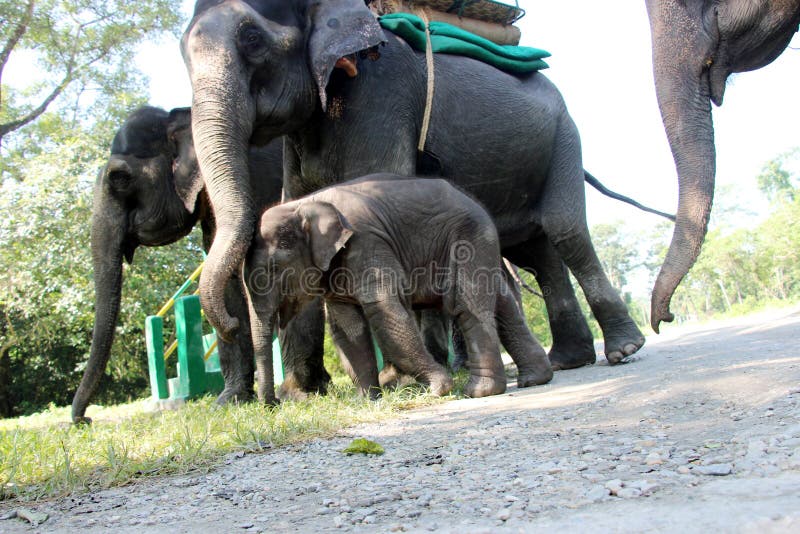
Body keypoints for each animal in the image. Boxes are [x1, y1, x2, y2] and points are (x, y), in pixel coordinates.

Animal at [71, 107, 328, 426]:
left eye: (119, 177)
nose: (85, 420)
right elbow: (227, 273)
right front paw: (229, 401)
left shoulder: (257, 175)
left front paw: (298, 394)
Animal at [180, 0, 644, 370]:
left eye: (252, 39)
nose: (230, 323)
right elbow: (298, 210)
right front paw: (305, 391)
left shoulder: (380, 92)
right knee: (536, 252)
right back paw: (569, 361)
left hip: (565, 136)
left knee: (564, 229)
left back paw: (622, 350)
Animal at [245, 178, 556, 404]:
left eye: (274, 268)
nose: (273, 405)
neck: (302, 205)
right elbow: (347, 326)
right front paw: (367, 401)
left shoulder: (366, 242)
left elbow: (384, 310)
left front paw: (438, 390)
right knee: (503, 304)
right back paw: (534, 380)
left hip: (468, 239)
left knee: (465, 304)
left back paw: (479, 392)